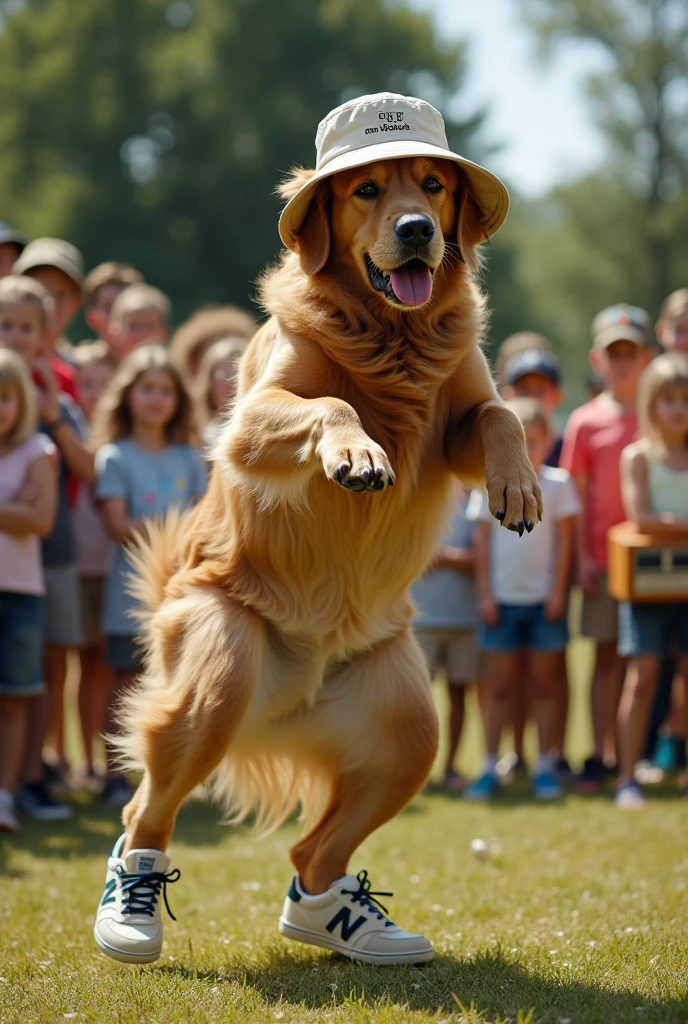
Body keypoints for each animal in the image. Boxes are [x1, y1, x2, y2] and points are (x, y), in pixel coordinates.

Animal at [98, 92, 544, 962]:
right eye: (367, 190)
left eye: (434, 185)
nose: (418, 230)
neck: (391, 335)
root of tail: (281, 711)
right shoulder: (250, 418)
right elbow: (330, 403)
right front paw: (357, 451)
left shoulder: (458, 416)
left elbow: (500, 411)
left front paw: (517, 482)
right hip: (219, 675)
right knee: (145, 810)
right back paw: (129, 911)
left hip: (408, 728)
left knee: (315, 846)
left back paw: (347, 921)